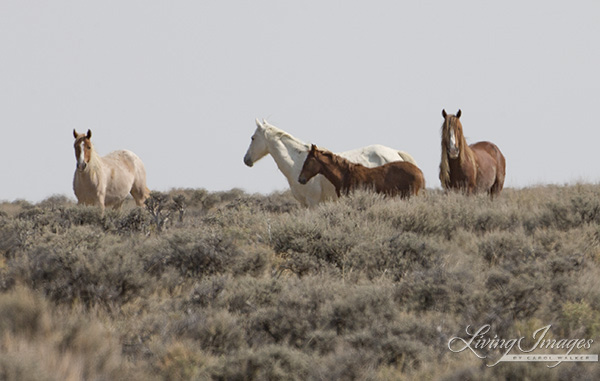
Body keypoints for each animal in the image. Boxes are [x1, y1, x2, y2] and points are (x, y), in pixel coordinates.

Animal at [243, 120, 418, 206]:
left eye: (253, 137)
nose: (246, 160)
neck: (297, 164)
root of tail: (396, 152)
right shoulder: (303, 204)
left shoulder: (313, 203)